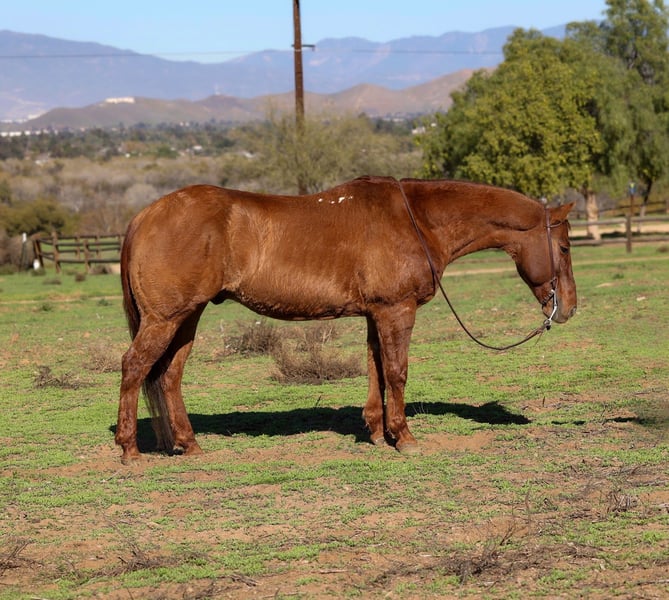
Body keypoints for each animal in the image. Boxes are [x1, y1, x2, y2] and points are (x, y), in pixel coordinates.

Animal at [115, 176, 577, 463]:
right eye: (565, 247)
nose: (569, 307)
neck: (417, 220)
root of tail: (144, 216)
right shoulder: (396, 310)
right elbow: (397, 372)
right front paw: (404, 438)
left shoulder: (376, 313)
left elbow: (376, 371)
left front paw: (375, 432)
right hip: (165, 319)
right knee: (135, 368)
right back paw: (130, 450)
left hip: (187, 318)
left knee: (169, 376)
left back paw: (189, 444)